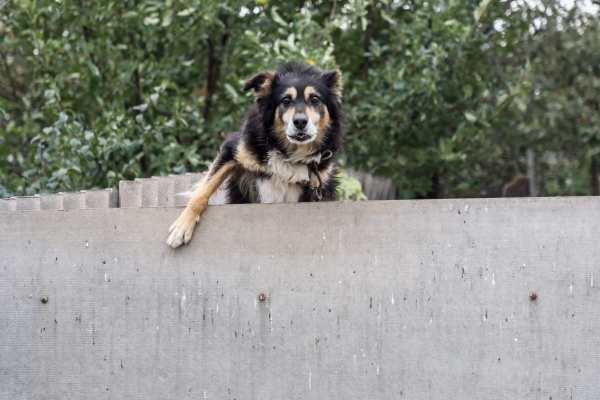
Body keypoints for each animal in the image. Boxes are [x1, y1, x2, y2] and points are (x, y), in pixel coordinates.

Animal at [168, 63, 342, 247]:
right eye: (286, 100)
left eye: (315, 100)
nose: (300, 122)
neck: (290, 151)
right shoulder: (233, 149)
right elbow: (203, 190)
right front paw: (182, 227)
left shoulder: (319, 184)